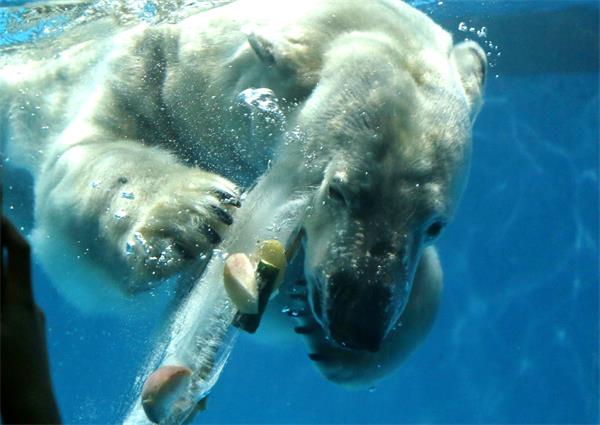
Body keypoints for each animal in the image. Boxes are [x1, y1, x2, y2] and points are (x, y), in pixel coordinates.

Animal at [1, 0, 488, 384]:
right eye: (339, 191)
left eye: (435, 225)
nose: (357, 327)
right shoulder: (143, 72)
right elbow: (82, 161)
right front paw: (195, 212)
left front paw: (330, 340)